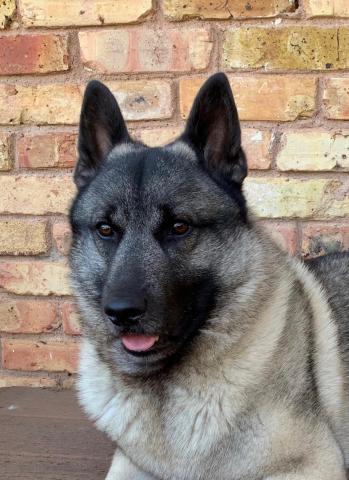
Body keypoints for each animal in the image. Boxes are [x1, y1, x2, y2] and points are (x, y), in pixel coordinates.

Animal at [69, 73, 348, 478]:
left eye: (179, 227)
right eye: (106, 230)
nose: (121, 313)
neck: (165, 390)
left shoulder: (315, 462)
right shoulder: (128, 465)